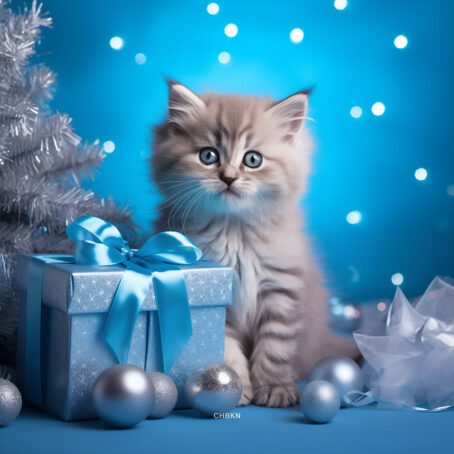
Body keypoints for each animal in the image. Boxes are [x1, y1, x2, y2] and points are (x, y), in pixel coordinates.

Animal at [151, 81, 356, 408]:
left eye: (252, 159)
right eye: (208, 156)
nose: (229, 178)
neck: (235, 232)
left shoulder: (282, 290)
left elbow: (274, 349)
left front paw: (274, 388)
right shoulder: (218, 297)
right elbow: (227, 349)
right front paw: (231, 387)